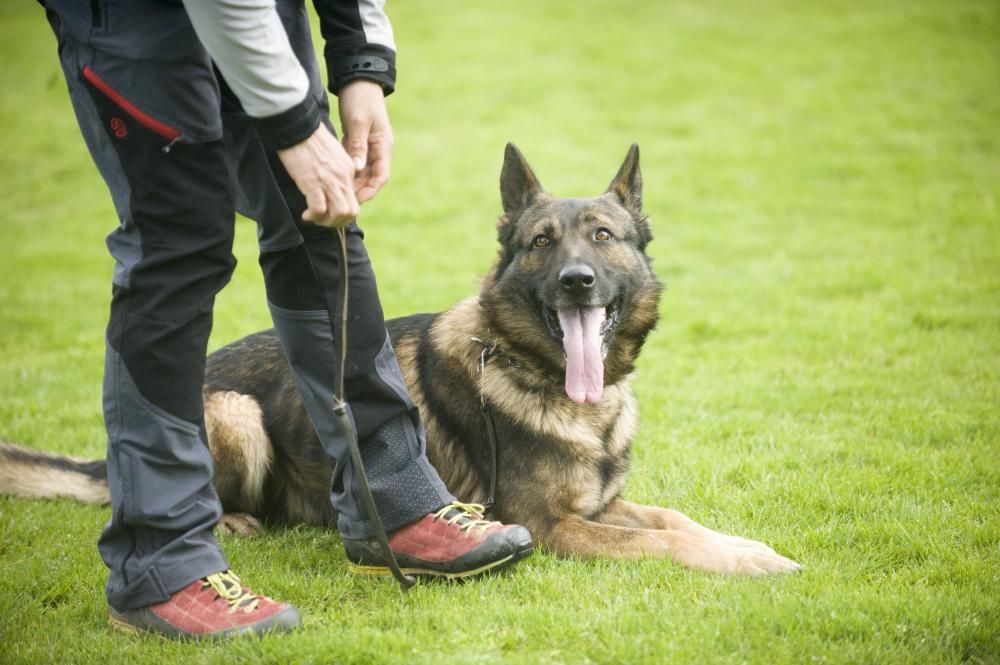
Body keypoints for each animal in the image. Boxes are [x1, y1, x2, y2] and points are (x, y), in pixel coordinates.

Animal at [0, 145, 796, 576]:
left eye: (603, 236)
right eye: (542, 242)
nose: (576, 281)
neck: (538, 374)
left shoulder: (601, 506)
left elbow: (678, 522)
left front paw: (754, 548)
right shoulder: (554, 527)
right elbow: (665, 546)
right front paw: (744, 563)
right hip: (234, 410)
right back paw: (232, 524)